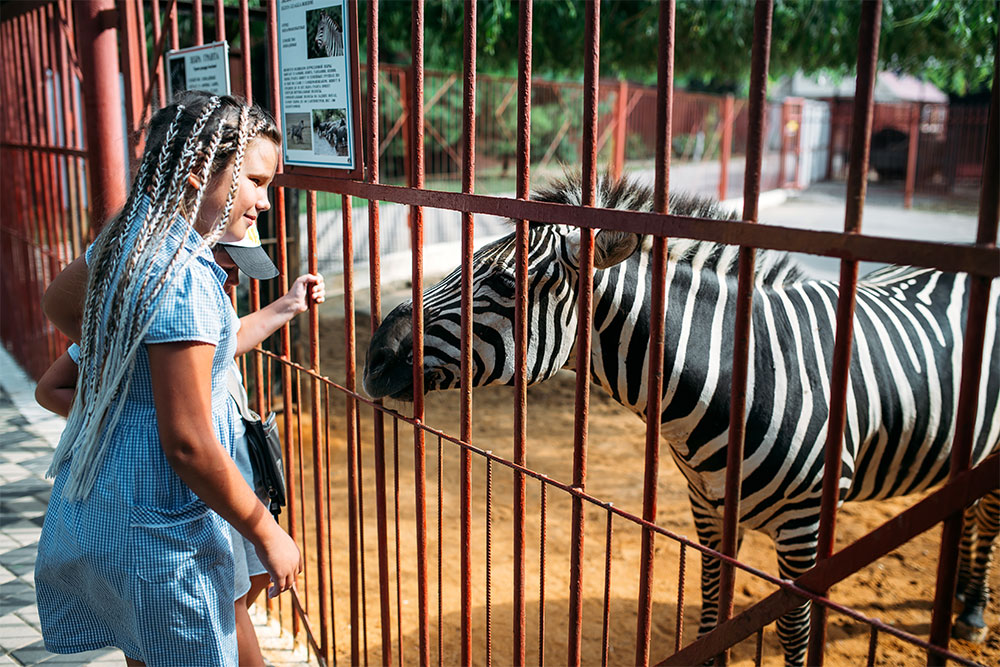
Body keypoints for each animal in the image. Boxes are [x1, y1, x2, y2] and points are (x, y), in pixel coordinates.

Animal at [364, 175, 1000, 664]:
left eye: (504, 282)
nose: (372, 358)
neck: (741, 377)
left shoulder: (806, 528)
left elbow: (793, 632)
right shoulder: (708, 508)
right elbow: (713, 608)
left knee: (988, 517)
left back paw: (970, 610)